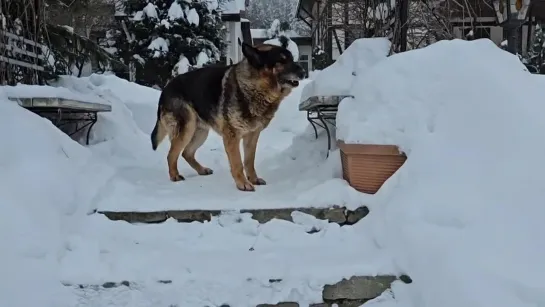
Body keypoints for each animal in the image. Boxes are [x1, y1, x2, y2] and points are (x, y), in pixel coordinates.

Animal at [149, 40, 306, 191]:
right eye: (282, 60)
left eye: (292, 58)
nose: (304, 72)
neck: (254, 88)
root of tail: (165, 89)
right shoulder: (232, 136)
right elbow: (237, 163)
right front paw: (243, 184)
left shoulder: (252, 136)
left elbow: (249, 161)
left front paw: (253, 179)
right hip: (187, 129)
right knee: (172, 154)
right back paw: (174, 175)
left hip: (200, 133)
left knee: (186, 153)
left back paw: (201, 170)